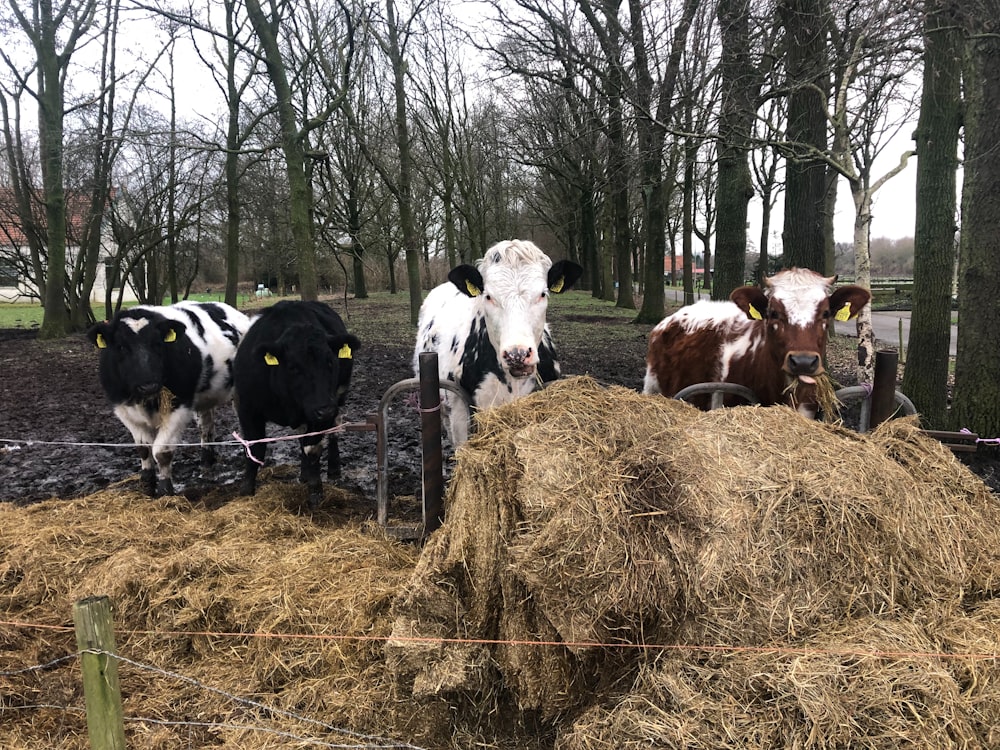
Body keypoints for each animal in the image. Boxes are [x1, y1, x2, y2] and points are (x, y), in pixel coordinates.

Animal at [88, 300, 252, 500]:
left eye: (157, 343)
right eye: (121, 347)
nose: (148, 385)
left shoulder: (179, 406)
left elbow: (162, 452)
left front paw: (165, 489)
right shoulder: (123, 409)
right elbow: (143, 449)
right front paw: (147, 483)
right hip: (205, 400)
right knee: (206, 427)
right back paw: (206, 461)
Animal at [232, 298, 362, 506]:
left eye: (331, 362)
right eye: (293, 367)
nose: (325, 410)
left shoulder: (322, 409)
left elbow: (313, 448)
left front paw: (315, 492)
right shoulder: (246, 407)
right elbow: (255, 448)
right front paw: (246, 490)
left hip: (338, 398)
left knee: (333, 431)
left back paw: (333, 469)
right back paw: (304, 475)